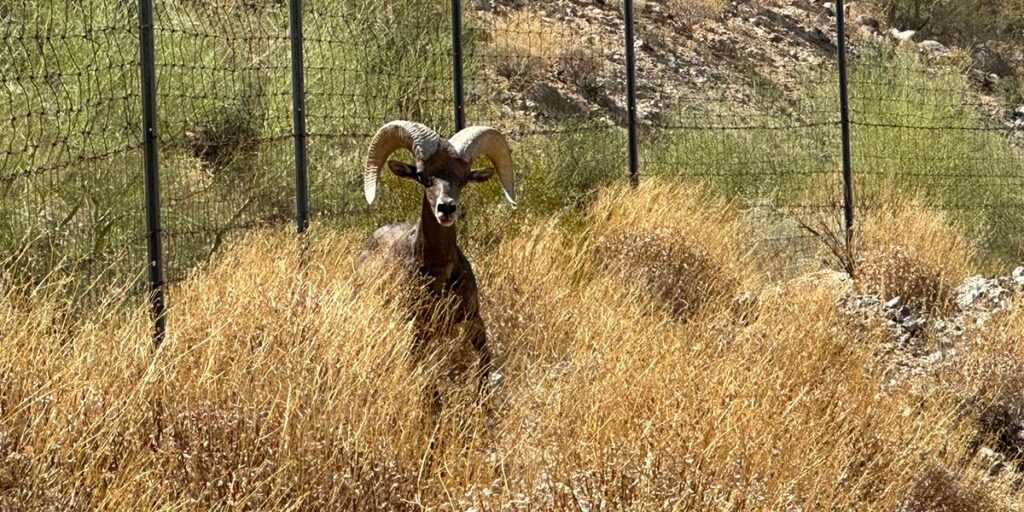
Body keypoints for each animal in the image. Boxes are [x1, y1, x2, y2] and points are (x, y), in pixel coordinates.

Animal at [356, 120, 516, 391]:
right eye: (422, 176)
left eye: (463, 179)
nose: (447, 208)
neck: (440, 273)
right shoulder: (416, 330)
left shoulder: (474, 321)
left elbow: (484, 365)